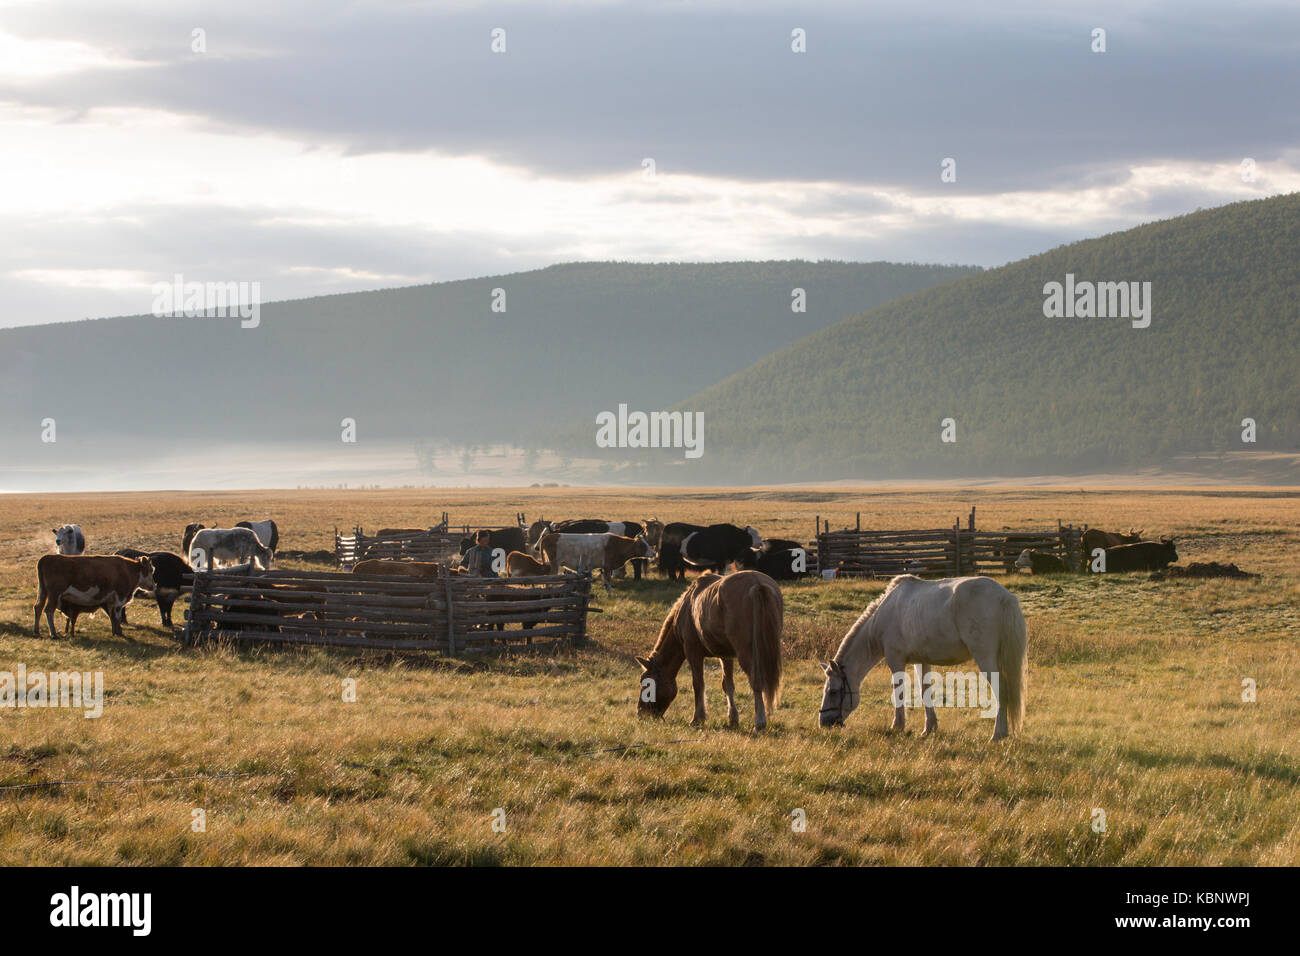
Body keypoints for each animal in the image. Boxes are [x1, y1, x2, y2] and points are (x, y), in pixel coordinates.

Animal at [635, 570, 783, 731]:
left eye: (646, 683)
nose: (641, 713)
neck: (687, 607)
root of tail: (757, 584)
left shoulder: (693, 653)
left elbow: (698, 684)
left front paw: (697, 718)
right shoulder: (726, 656)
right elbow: (727, 685)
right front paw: (733, 719)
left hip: (746, 653)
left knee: (756, 680)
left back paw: (760, 722)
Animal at [818, 574, 1027, 741]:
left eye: (833, 692)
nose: (824, 723)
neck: (885, 613)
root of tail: (1004, 597)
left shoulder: (895, 660)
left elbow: (899, 691)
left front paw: (897, 727)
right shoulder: (921, 661)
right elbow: (925, 690)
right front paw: (929, 729)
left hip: (985, 658)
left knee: (1001, 691)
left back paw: (997, 734)